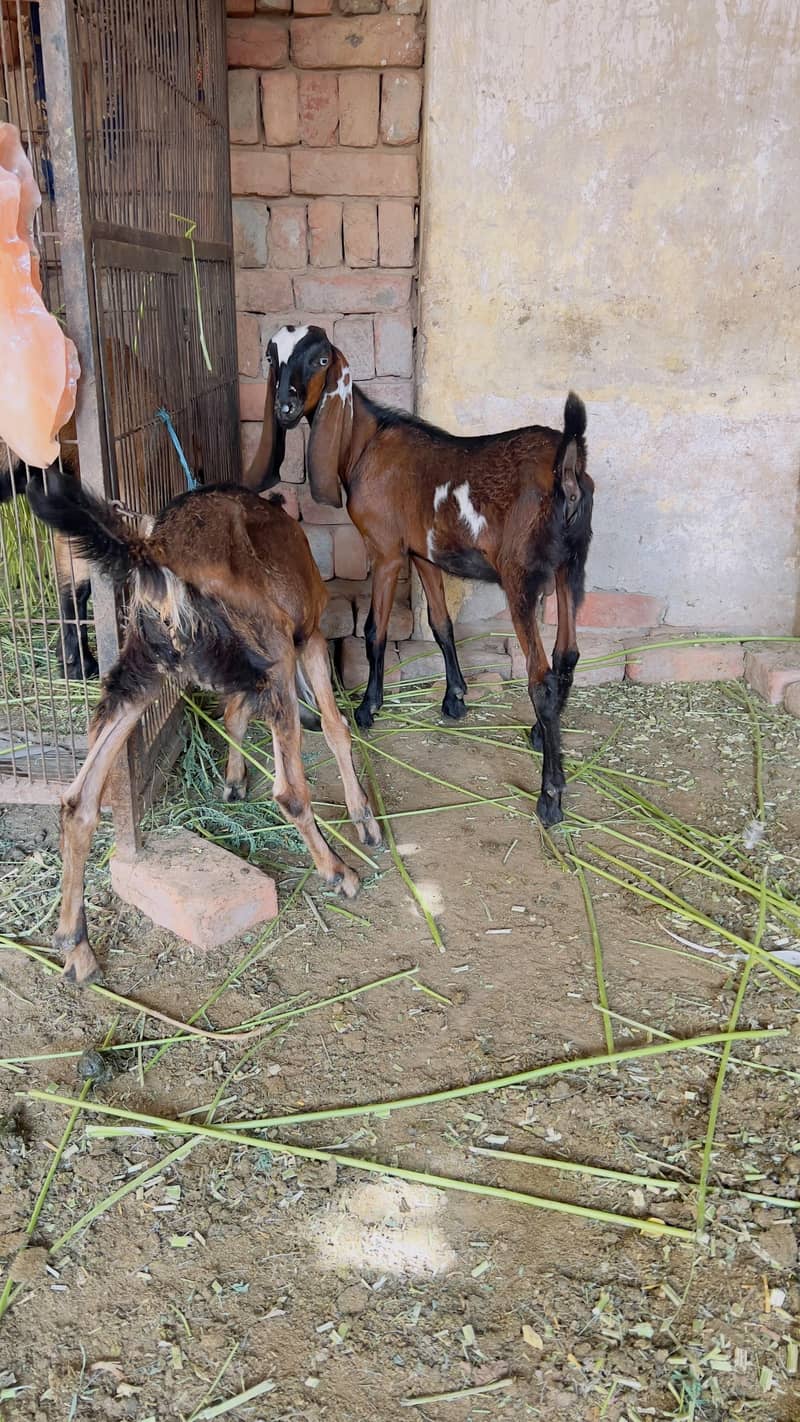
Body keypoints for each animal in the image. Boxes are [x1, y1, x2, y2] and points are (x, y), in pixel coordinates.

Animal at [26, 469, 382, 985]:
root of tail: (155, 553)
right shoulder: (307, 638)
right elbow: (337, 727)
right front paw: (365, 820)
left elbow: (234, 715)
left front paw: (233, 782)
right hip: (274, 650)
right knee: (289, 791)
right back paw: (339, 872)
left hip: (139, 675)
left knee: (78, 803)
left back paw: (76, 947)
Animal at [244, 324, 594, 828]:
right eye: (273, 357)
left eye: (321, 360)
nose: (284, 409)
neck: (367, 444)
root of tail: (566, 469)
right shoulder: (423, 554)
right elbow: (441, 624)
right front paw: (455, 698)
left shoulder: (386, 550)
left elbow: (375, 630)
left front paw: (369, 707)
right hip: (571, 566)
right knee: (567, 655)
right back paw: (538, 734)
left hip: (520, 577)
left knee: (541, 678)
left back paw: (550, 798)